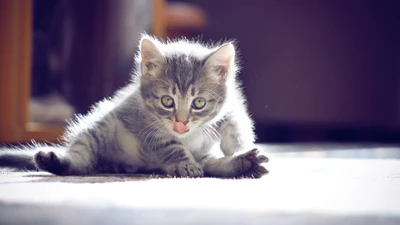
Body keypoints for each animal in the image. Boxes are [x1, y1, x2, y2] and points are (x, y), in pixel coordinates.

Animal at [0, 35, 268, 178]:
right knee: (81, 162)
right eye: (167, 101)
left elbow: (235, 120)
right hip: (99, 127)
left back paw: (243, 163)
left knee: (211, 165)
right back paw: (52, 160)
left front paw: (237, 146)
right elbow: (170, 146)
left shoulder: (232, 104)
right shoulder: (145, 126)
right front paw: (184, 162)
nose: (181, 123)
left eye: (199, 103)